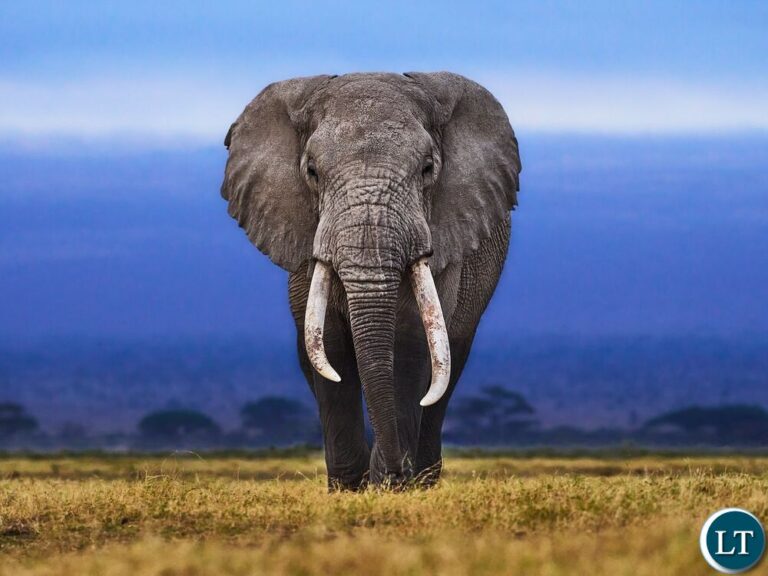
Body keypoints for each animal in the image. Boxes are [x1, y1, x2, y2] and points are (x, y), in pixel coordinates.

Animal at [220, 72, 521, 490]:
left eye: (427, 168)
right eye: (312, 172)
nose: (396, 471)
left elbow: (411, 343)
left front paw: (389, 486)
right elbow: (329, 348)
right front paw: (351, 488)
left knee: (447, 372)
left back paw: (423, 479)